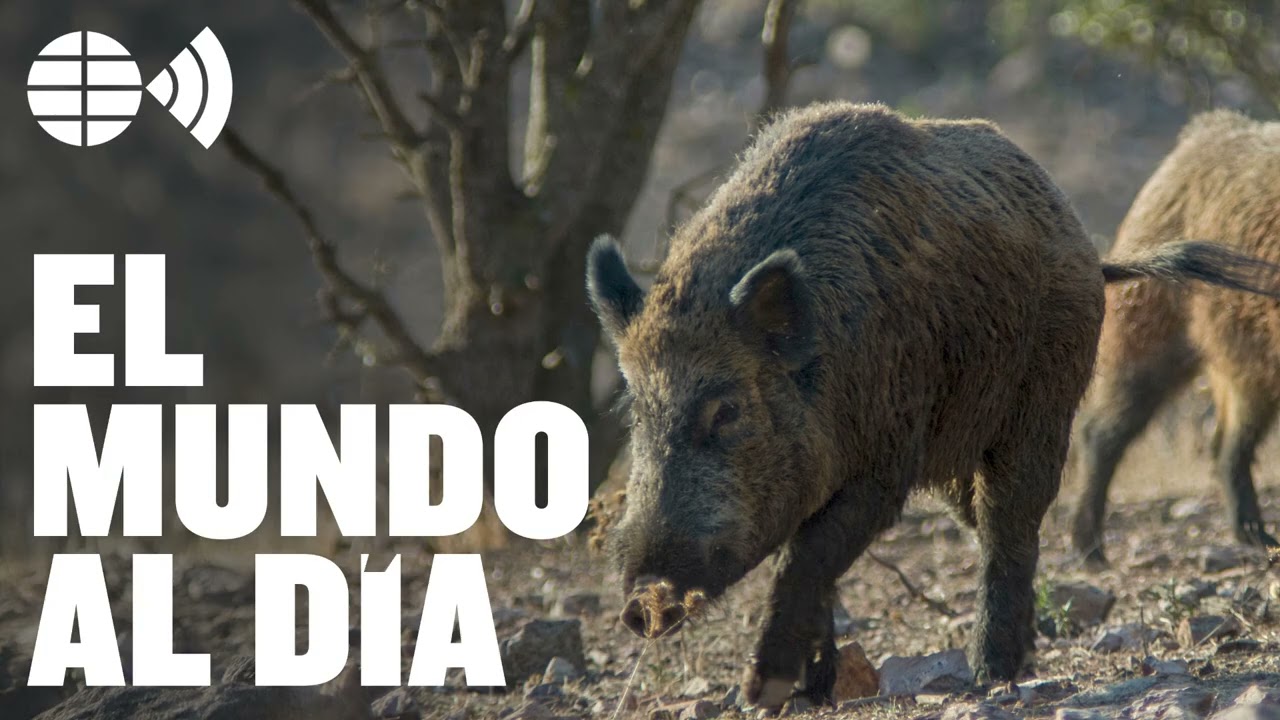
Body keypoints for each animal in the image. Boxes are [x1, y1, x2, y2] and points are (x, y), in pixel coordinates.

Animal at [1071, 110, 1280, 567]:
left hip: (1241, 362)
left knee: (1225, 444)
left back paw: (1256, 539)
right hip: (1148, 333)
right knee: (1103, 432)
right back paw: (1091, 553)